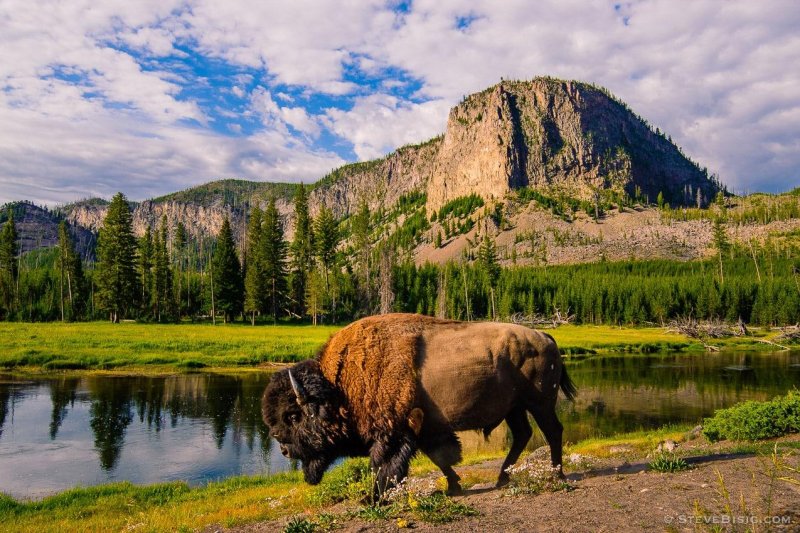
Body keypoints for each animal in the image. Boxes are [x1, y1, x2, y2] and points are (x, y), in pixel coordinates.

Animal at [262, 312, 576, 494]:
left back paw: (556, 475)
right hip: (515, 408)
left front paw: (372, 498)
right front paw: (453, 487)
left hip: (540, 403)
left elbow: (384, 465)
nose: (283, 449)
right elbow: (439, 458)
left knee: (552, 431)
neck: (338, 387)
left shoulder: (393, 432)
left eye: (293, 416)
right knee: (524, 434)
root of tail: (546, 336)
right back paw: (502, 478)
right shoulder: (422, 428)